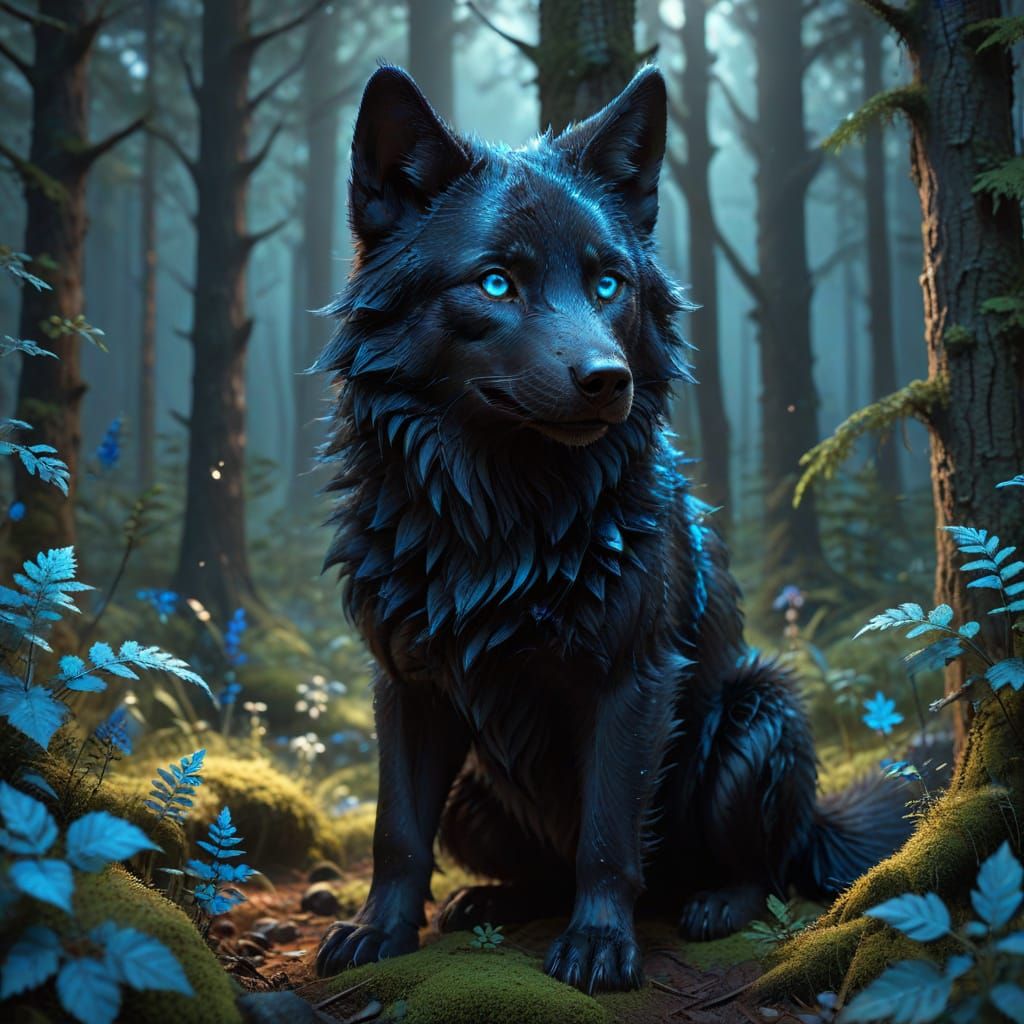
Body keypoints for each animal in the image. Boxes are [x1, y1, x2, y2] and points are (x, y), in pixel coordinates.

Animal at [313, 64, 908, 994]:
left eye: (607, 284)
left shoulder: (631, 677)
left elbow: (607, 836)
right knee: (534, 868)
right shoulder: (404, 683)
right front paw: (378, 933)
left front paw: (598, 945)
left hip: (759, 712)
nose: (608, 379)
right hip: (474, 796)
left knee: (758, 870)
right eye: (495, 283)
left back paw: (714, 905)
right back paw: (488, 902)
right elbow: (397, 832)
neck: (502, 522)